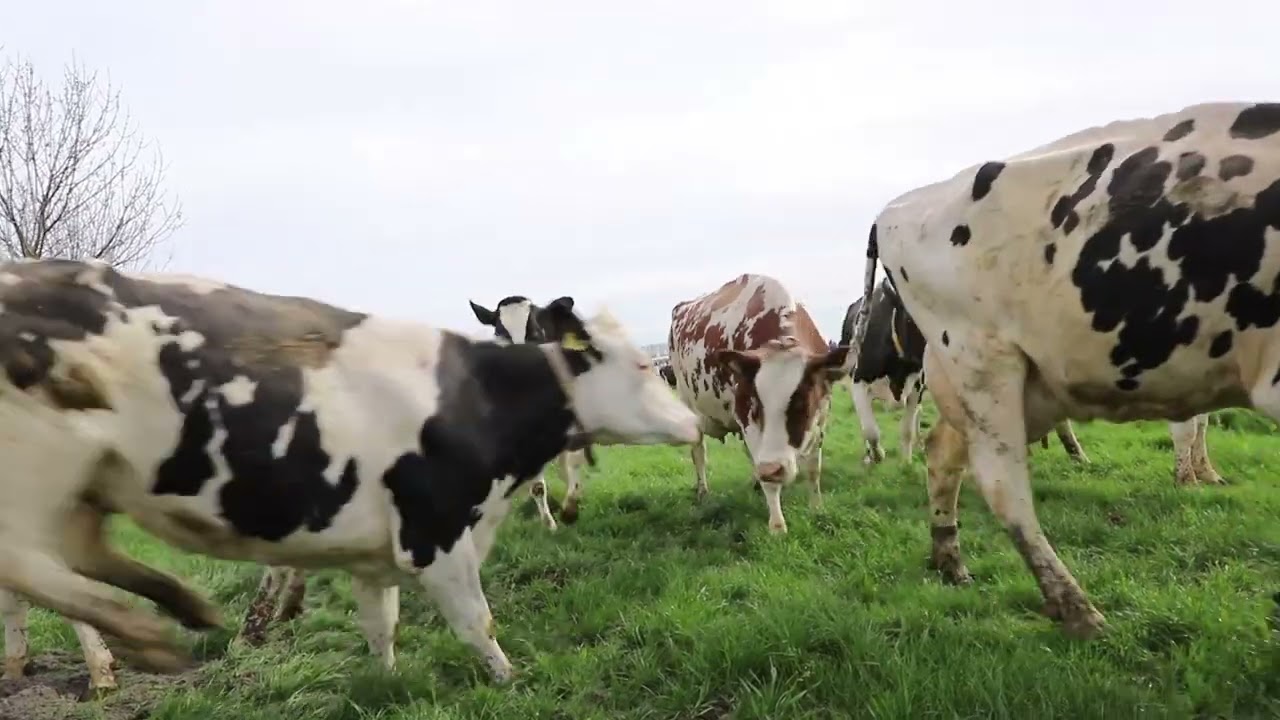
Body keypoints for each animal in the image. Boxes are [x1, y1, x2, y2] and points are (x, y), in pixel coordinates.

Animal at [0, 258, 700, 682]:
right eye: (642, 366)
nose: (693, 423)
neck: (474, 398)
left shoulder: (374, 556)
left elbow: (380, 627)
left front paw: (388, 682)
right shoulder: (436, 534)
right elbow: (478, 622)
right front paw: (509, 679)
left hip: (90, 484)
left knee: (77, 552)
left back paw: (179, 605)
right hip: (41, 466)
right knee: (29, 562)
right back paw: (139, 630)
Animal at [668, 273, 850, 533]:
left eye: (802, 405)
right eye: (755, 404)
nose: (771, 469)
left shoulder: (820, 417)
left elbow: (814, 469)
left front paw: (817, 509)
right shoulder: (746, 417)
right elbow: (768, 479)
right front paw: (777, 526)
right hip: (689, 405)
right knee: (699, 453)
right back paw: (703, 491)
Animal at [849, 101, 1280, 638]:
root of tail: (900, 207)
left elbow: (1195, 426)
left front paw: (1202, 475)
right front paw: (1191, 478)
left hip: (1018, 381)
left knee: (944, 450)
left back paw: (950, 559)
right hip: (981, 359)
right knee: (1001, 482)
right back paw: (1076, 608)